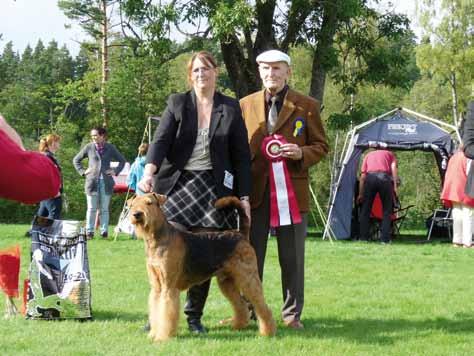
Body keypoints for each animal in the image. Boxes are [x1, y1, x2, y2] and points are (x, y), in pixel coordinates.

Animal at [129, 195, 278, 342]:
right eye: (133, 204)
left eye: (149, 203)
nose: (137, 214)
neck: (157, 239)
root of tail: (240, 234)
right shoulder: (157, 287)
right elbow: (155, 311)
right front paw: (153, 334)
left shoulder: (169, 287)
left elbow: (165, 313)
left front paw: (162, 337)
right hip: (226, 282)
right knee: (241, 305)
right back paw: (238, 325)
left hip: (248, 278)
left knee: (262, 306)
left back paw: (267, 332)